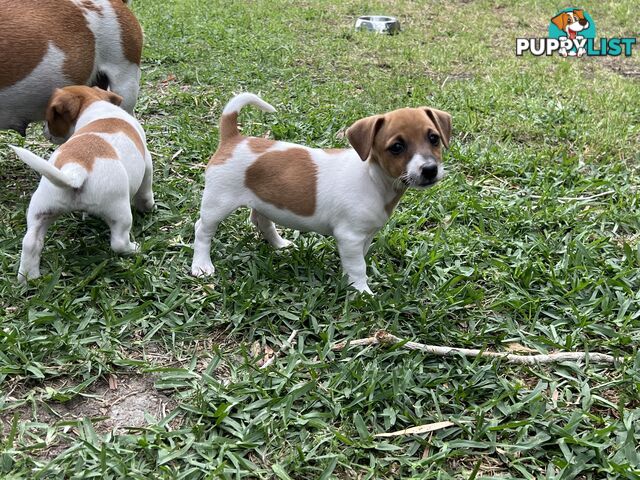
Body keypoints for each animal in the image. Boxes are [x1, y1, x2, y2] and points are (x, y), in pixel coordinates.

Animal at [11, 86, 154, 284]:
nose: (44, 130)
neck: (94, 104)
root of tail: (75, 169)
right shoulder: (147, 162)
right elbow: (145, 192)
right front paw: (148, 207)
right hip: (120, 212)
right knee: (118, 242)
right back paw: (134, 248)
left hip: (42, 209)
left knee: (31, 242)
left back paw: (28, 278)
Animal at [192, 93, 452, 292]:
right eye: (396, 147)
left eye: (434, 138)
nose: (430, 169)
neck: (373, 179)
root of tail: (233, 139)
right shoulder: (350, 236)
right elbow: (358, 266)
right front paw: (362, 292)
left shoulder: (363, 236)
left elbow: (356, 261)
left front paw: (348, 282)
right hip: (218, 203)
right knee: (202, 230)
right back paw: (201, 265)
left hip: (263, 200)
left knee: (260, 221)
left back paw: (280, 244)